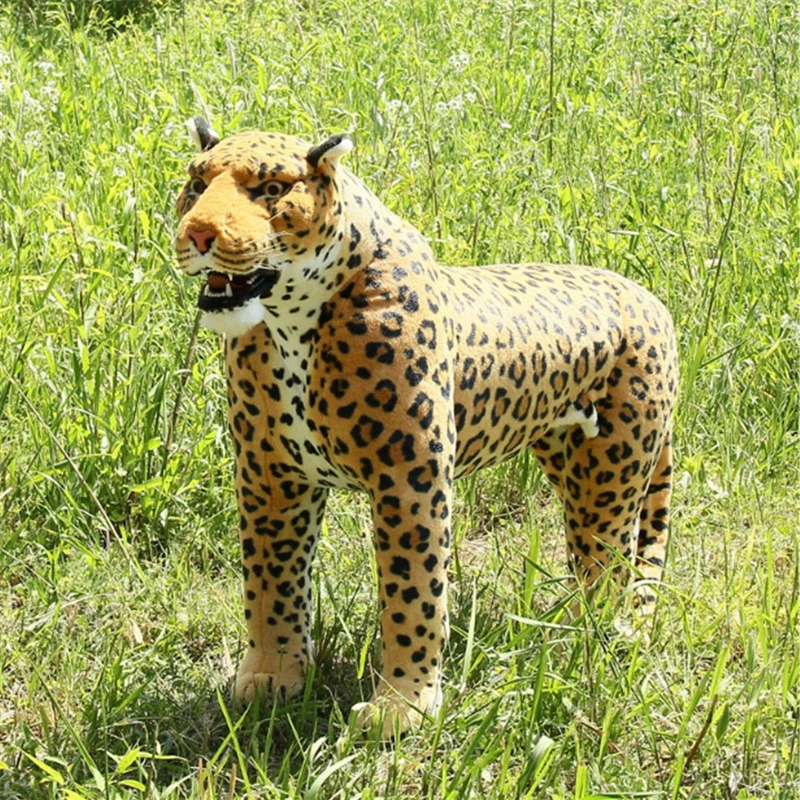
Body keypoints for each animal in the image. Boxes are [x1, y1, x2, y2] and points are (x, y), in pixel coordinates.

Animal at [174, 116, 678, 737]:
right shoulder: (270, 476)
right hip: (565, 458)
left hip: (611, 472)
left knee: (611, 561)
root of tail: (650, 297)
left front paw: (403, 707)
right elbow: (271, 586)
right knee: (594, 556)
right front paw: (273, 679)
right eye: (197, 185)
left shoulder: (408, 479)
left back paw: (585, 641)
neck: (292, 321)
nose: (198, 233)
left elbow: (412, 593)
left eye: (270, 190)